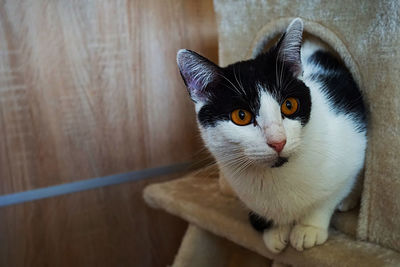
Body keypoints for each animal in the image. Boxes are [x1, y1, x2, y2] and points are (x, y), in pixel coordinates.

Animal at [177, 17, 368, 254]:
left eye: (289, 105)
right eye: (241, 116)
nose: (278, 141)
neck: (275, 177)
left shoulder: (352, 145)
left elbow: (328, 197)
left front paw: (308, 228)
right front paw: (276, 230)